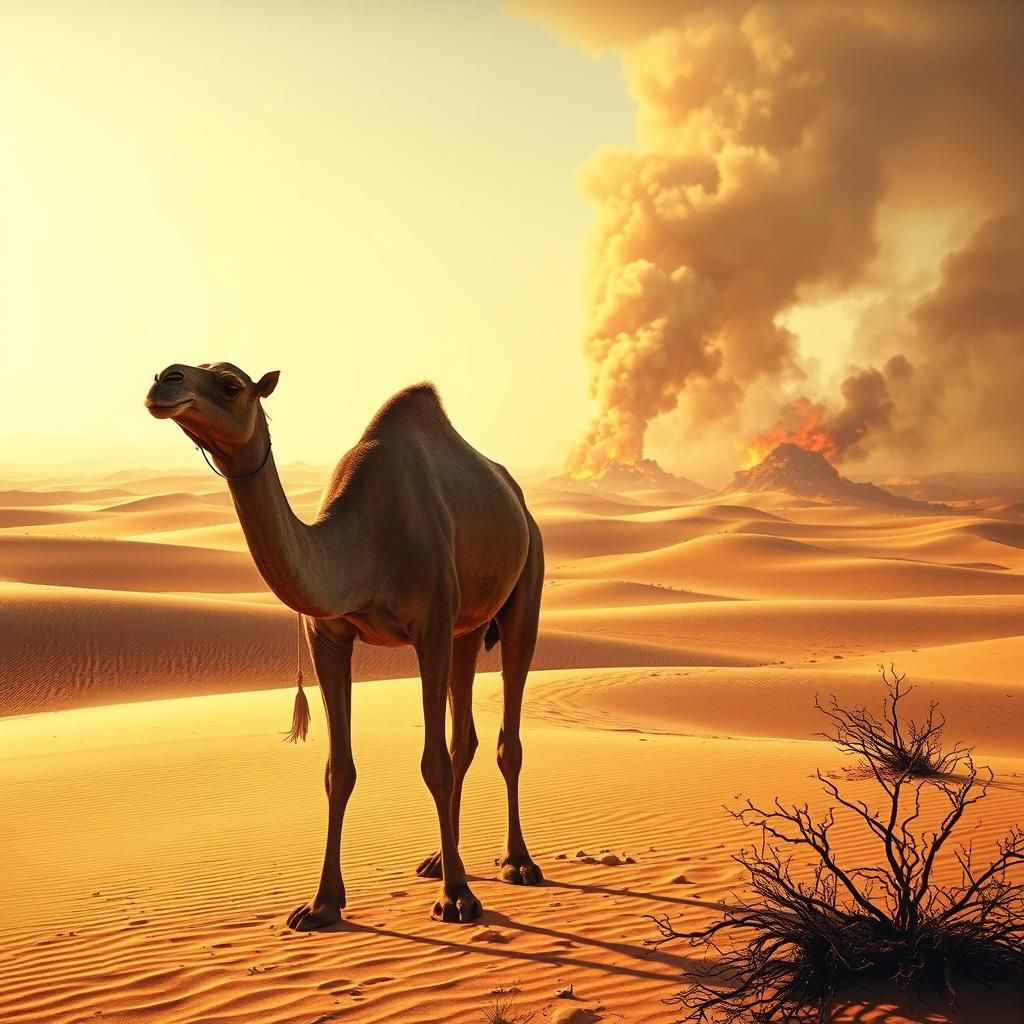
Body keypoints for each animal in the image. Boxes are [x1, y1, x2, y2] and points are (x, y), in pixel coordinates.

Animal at [145, 362, 544, 928]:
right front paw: (321, 904)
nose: (165, 378)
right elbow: (340, 770)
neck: (361, 546)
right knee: (463, 737)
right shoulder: (327, 635)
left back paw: (516, 862)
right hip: (467, 628)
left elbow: (433, 765)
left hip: (524, 587)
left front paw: (458, 899)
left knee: (505, 738)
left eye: (231, 385)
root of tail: (518, 501)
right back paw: (441, 859)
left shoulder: (431, 628)